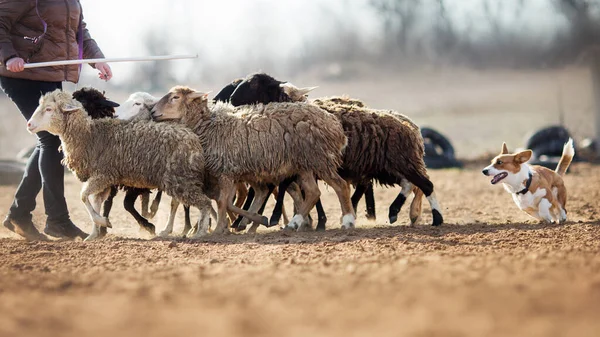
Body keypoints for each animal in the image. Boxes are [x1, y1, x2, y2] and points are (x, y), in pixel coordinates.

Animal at [28, 89, 217, 240]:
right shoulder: (103, 181)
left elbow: (83, 196)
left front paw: (103, 222)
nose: (29, 124)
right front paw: (94, 234)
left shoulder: (103, 175)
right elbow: (95, 203)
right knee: (187, 202)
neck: (89, 135)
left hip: (181, 179)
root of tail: (193, 139)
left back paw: (200, 232)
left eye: (49, 109)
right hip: (179, 179)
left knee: (205, 203)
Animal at [151, 86, 356, 234]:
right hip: (304, 163)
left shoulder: (226, 172)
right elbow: (227, 202)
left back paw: (347, 221)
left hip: (319, 158)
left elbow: (223, 202)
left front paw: (219, 229)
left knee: (340, 185)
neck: (210, 127)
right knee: (313, 192)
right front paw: (240, 223)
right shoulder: (230, 173)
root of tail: (334, 124)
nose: (152, 111)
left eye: (175, 97)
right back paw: (294, 223)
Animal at [227, 72, 442, 227]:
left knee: (425, 184)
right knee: (411, 184)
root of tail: (410, 127)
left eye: (254, 84)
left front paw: (278, 218)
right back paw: (398, 211)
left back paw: (433, 217)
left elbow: (284, 187)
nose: (231, 98)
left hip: (400, 162)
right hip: (389, 167)